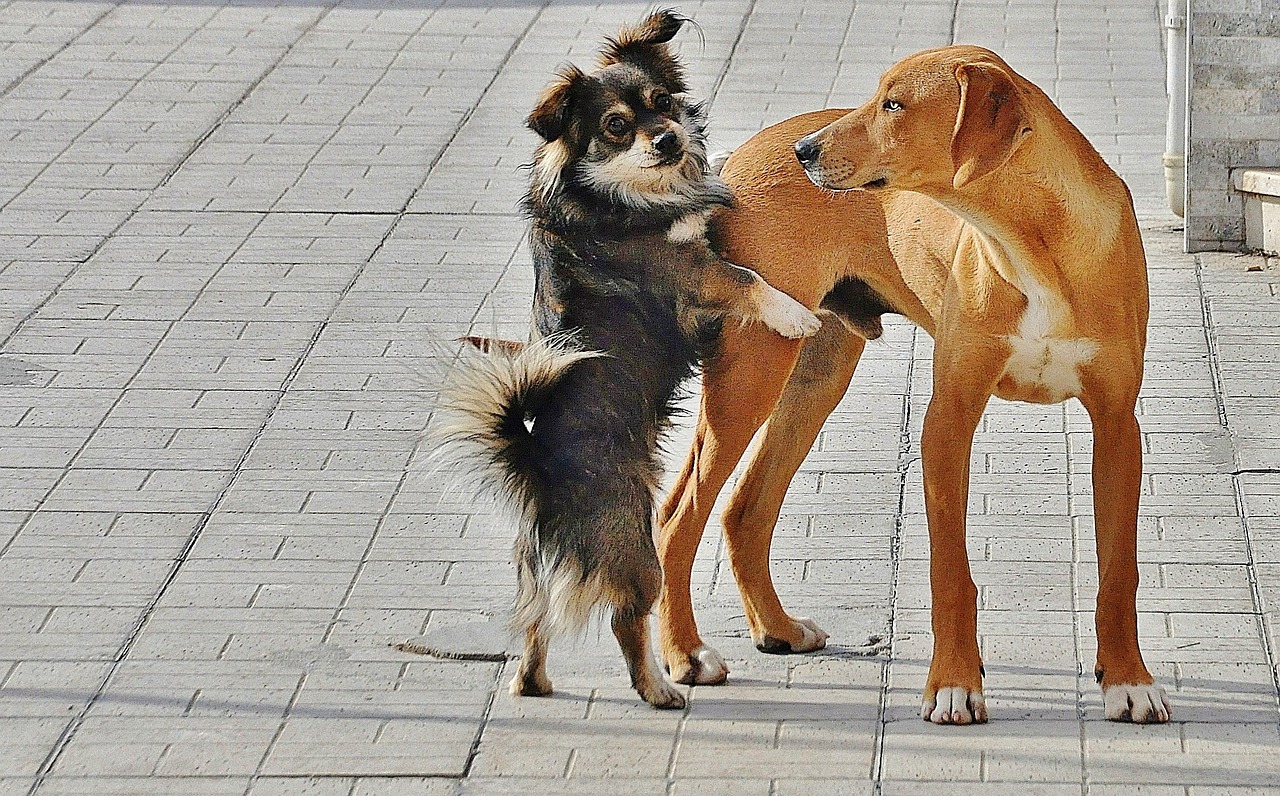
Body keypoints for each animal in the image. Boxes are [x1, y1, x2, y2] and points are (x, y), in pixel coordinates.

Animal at [435, 9, 819, 711]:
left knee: (533, 626)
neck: (617, 195)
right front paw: (793, 311)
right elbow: (745, 277)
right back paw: (663, 690)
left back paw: (533, 682)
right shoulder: (687, 274)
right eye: (616, 126)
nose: (668, 139)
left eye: (662, 102)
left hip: (534, 574)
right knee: (625, 620)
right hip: (636, 552)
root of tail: (538, 468)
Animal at [655, 46, 1172, 726]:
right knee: (676, 516)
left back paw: (777, 629)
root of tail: (736, 159)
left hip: (815, 373)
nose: (805, 151)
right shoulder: (949, 417)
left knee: (744, 508)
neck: (1034, 247)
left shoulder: (1117, 427)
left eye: (894, 104)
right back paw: (684, 654)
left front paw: (1129, 681)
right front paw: (954, 685)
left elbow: (1119, 570)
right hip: (752, 370)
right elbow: (950, 570)